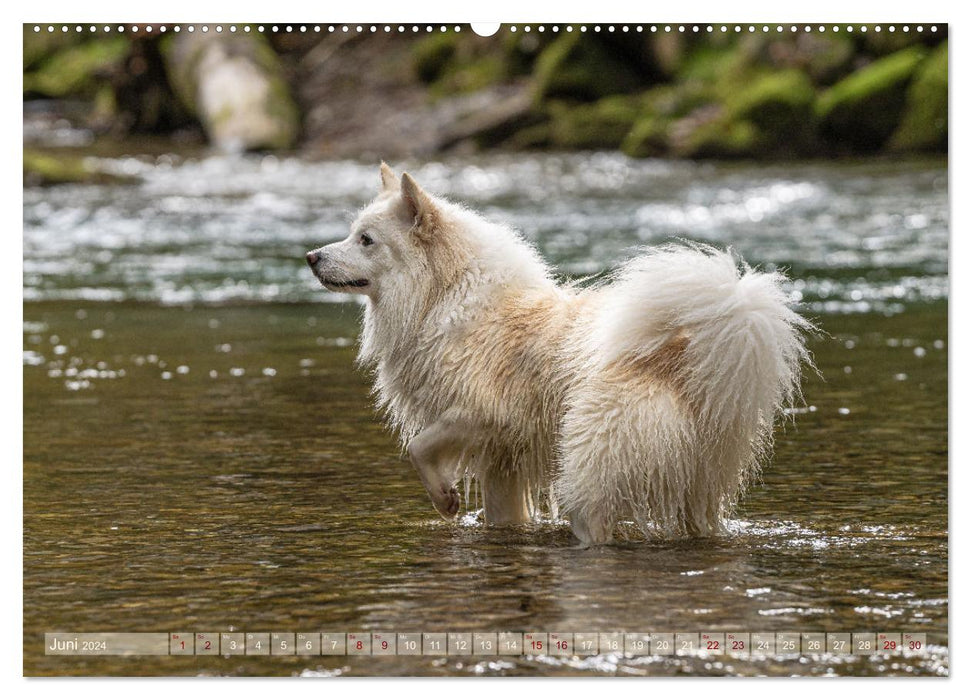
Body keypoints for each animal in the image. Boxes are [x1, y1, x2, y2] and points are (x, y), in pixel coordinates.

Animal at [306, 165, 812, 548]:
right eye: (351, 234)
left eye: (366, 240)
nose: (311, 256)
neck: (443, 296)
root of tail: (680, 356)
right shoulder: (502, 461)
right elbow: (502, 514)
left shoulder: (482, 414)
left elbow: (418, 447)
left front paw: (445, 499)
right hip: (698, 489)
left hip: (588, 472)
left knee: (596, 528)